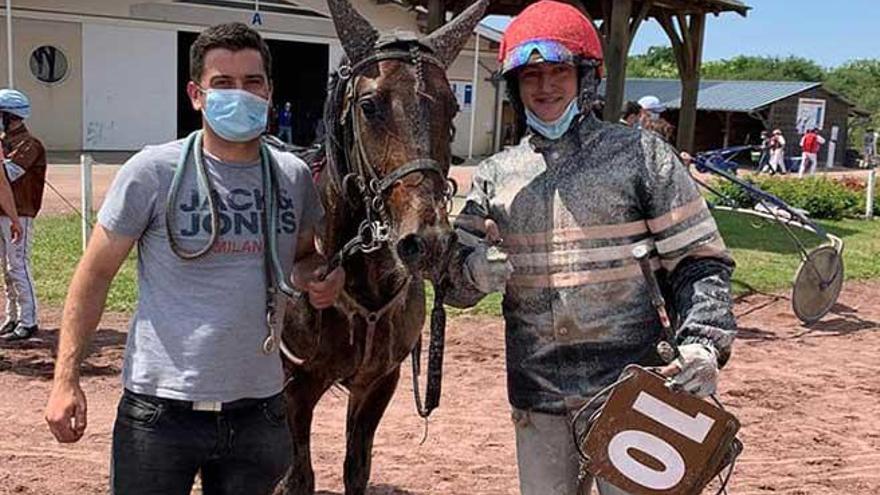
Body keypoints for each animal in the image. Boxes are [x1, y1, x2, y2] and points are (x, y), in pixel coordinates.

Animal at [276, 0, 488, 495]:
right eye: (369, 105)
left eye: (453, 107)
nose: (428, 243)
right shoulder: (298, 386)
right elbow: (300, 476)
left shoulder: (378, 383)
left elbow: (358, 468)